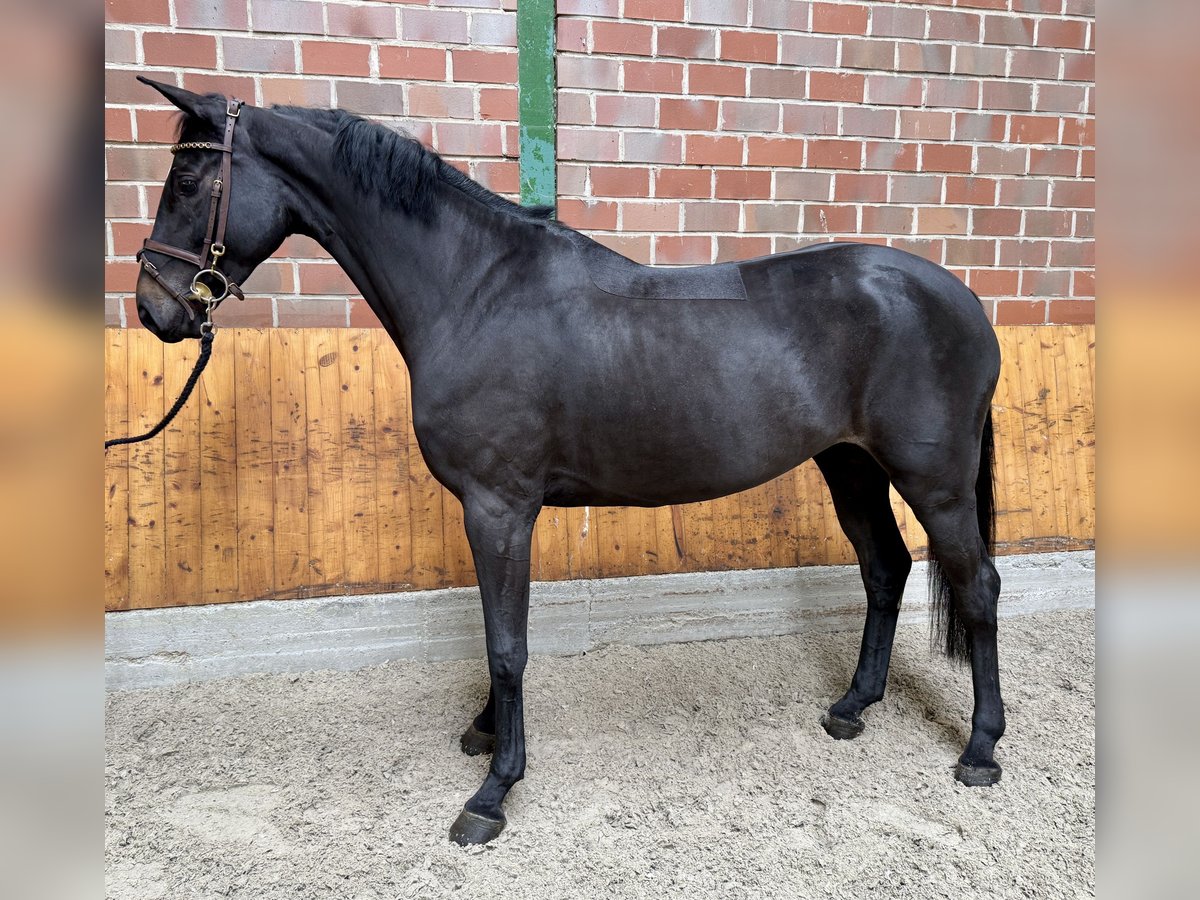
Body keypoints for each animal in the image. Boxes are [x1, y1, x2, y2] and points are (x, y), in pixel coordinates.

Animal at [129, 78, 1005, 846]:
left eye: (191, 176)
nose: (154, 308)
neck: (474, 292)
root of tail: (962, 300)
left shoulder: (499, 506)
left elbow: (506, 645)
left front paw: (492, 793)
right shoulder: (493, 510)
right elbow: (499, 635)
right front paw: (487, 733)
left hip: (934, 482)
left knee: (977, 588)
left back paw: (980, 749)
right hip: (850, 465)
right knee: (885, 568)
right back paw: (853, 708)